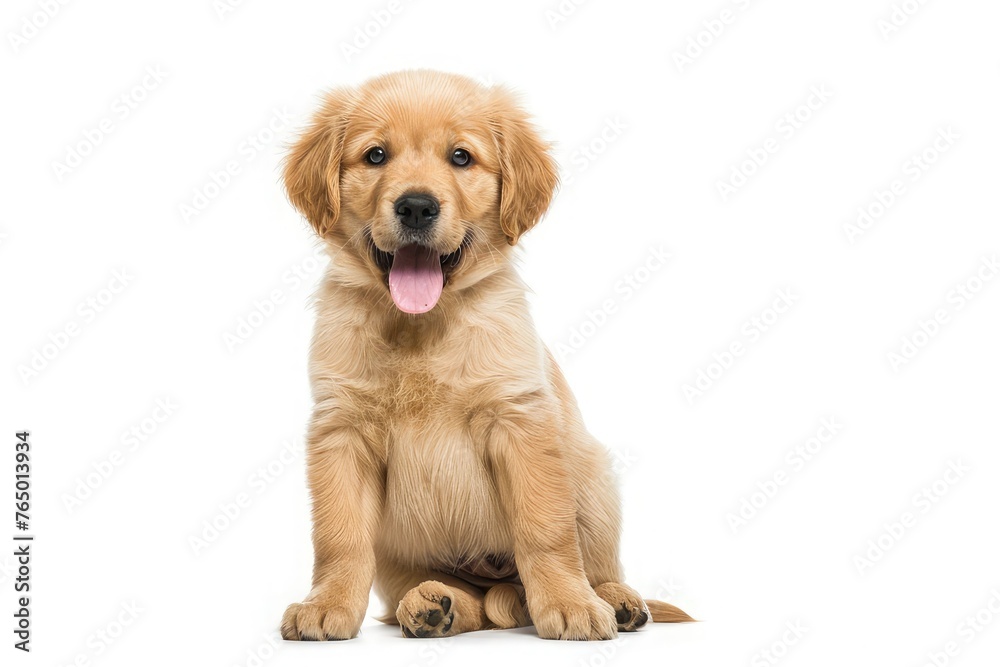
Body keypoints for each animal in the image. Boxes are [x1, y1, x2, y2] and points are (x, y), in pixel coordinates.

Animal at [278, 69, 692, 640]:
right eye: (376, 155)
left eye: (461, 157)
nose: (416, 206)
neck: (423, 325)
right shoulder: (341, 430)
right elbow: (339, 537)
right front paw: (326, 604)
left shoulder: (519, 420)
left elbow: (545, 530)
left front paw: (571, 604)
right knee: (462, 601)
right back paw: (433, 605)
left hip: (594, 481)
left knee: (595, 564)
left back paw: (617, 601)